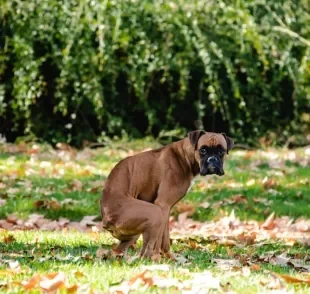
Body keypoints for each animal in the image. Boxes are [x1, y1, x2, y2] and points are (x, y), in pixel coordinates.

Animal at [100, 130, 234, 258]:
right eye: (203, 150)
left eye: (221, 151)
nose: (212, 159)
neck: (184, 156)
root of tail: (106, 221)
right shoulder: (162, 205)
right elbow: (159, 239)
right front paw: (158, 257)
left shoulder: (166, 208)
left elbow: (165, 236)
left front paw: (168, 256)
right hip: (154, 213)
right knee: (145, 250)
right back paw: (151, 259)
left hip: (134, 234)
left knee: (119, 250)